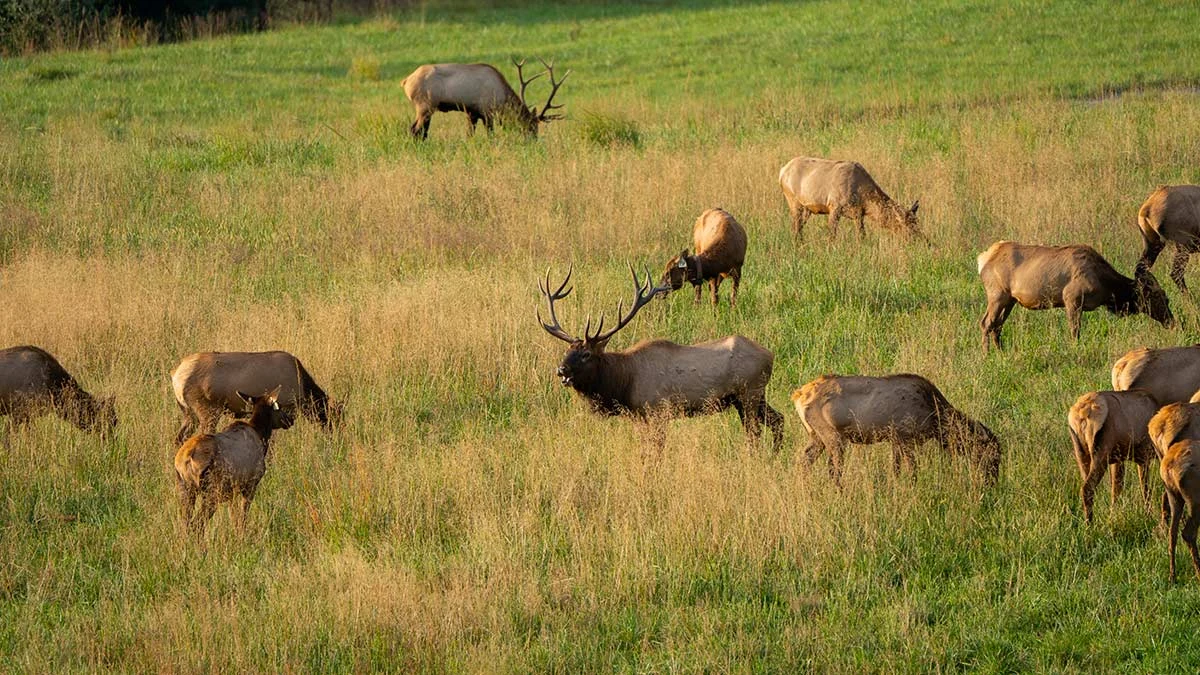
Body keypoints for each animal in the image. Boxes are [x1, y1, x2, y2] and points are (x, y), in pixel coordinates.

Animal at [401, 57, 568, 140]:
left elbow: (469, 136)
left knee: (419, 131)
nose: (534, 140)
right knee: (415, 130)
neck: (501, 98)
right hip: (425, 106)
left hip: (426, 109)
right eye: (531, 126)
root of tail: (405, 81)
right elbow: (491, 136)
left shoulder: (472, 113)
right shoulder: (487, 113)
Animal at [537, 265, 784, 451]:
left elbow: (655, 451)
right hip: (749, 396)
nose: (561, 370)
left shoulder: (657, 412)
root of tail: (770, 355)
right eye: (567, 350)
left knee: (754, 433)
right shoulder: (638, 417)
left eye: (586, 354)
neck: (624, 382)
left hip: (749, 392)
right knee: (778, 420)